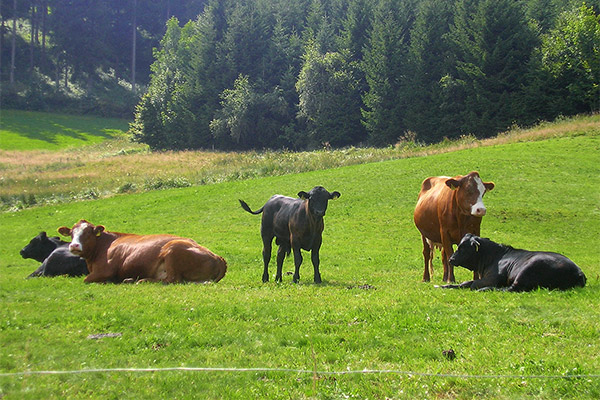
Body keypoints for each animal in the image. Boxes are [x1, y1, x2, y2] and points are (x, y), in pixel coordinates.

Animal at [57, 220, 226, 282]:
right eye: (71, 233)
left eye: (88, 233)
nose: (74, 246)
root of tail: (218, 258)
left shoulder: (105, 270)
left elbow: (86, 280)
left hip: (171, 249)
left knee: (172, 279)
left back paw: (140, 280)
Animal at [440, 233, 584, 292]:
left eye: (462, 248)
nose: (451, 259)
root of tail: (578, 271)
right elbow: (466, 283)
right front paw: (445, 286)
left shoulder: (491, 279)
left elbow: (473, 284)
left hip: (526, 271)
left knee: (510, 289)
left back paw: (485, 289)